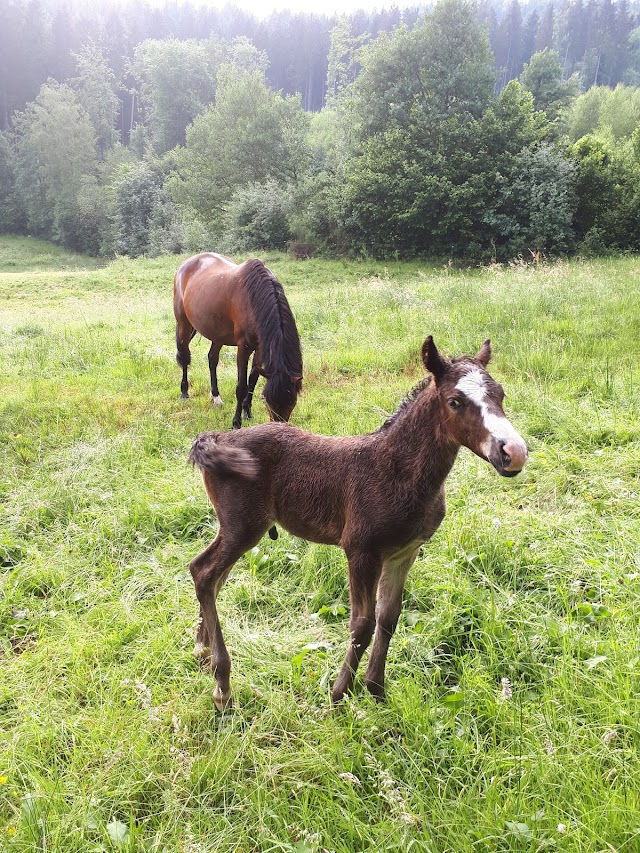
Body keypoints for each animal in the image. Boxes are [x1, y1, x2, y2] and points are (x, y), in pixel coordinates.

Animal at [172, 250, 302, 430]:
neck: (254, 299)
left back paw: (216, 397)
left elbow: (253, 379)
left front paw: (248, 412)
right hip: (183, 324)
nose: (278, 427)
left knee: (212, 359)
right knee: (185, 356)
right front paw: (236, 422)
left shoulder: (259, 347)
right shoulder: (243, 347)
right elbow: (242, 386)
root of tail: (186, 264)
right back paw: (184, 392)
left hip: (217, 333)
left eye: (291, 403)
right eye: (269, 401)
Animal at [188, 336, 528, 708]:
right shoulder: (361, 550)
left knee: (211, 577)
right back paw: (222, 683)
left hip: (236, 527)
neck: (397, 470)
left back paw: (202, 650)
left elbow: (389, 618)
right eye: (455, 401)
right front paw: (339, 695)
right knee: (204, 573)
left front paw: (376, 689)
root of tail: (216, 438)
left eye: (500, 395)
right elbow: (362, 624)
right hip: (242, 526)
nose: (514, 452)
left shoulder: (404, 552)